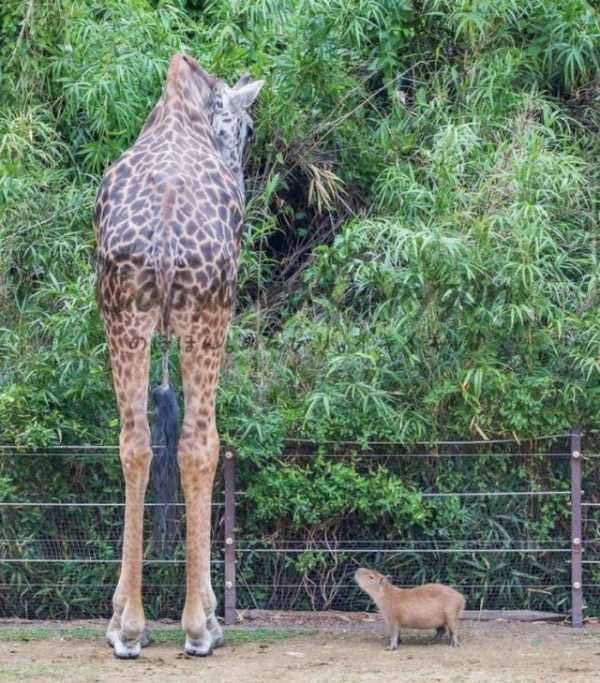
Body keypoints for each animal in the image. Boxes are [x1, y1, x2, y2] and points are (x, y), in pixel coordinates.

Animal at [93, 53, 262, 656]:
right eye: (247, 127)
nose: (241, 174)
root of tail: (165, 235)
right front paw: (209, 612)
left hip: (123, 318)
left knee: (134, 443)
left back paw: (127, 626)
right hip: (206, 320)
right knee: (198, 444)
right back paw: (198, 627)